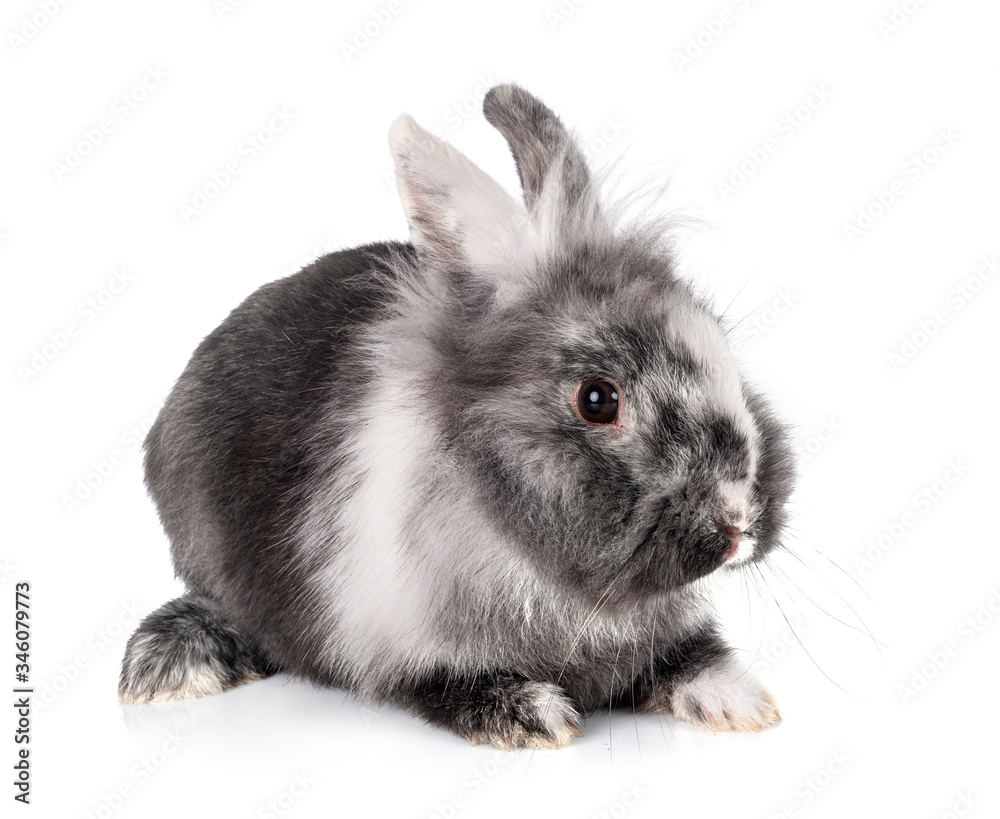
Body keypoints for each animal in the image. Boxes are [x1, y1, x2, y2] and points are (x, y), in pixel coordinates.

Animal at [119, 83, 796, 750]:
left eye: (723, 349)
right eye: (597, 400)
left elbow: (689, 659)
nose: (739, 523)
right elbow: (450, 685)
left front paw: (745, 705)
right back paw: (162, 666)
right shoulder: (412, 649)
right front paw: (535, 717)